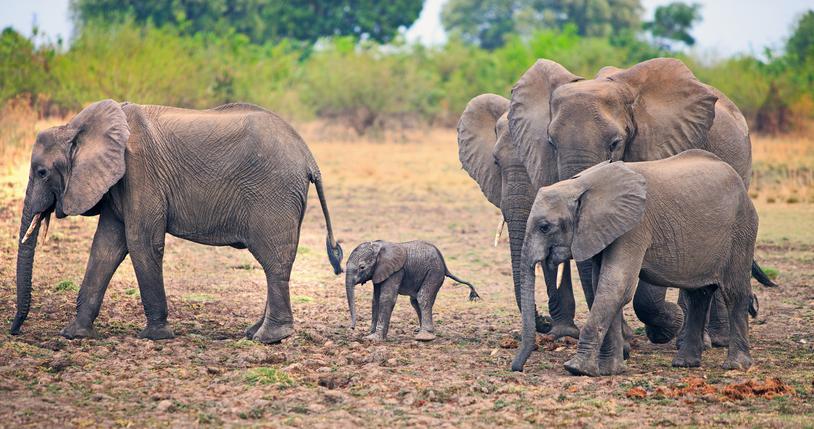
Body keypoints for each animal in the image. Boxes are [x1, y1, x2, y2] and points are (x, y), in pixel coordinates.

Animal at [11, 99, 344, 343]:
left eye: (42, 172)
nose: (14, 331)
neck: (77, 127)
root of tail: (308, 157)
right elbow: (105, 248)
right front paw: (73, 335)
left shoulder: (139, 171)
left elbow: (141, 242)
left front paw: (155, 337)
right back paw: (253, 333)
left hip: (273, 194)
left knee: (273, 261)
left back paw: (269, 338)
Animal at [344, 240, 479, 342]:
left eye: (362, 267)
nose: (352, 328)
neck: (379, 247)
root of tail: (445, 265)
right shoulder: (379, 272)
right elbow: (375, 300)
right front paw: (369, 335)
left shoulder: (396, 271)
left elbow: (386, 298)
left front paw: (375, 338)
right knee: (415, 301)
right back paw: (421, 331)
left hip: (434, 272)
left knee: (423, 297)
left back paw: (424, 336)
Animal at [508, 57, 775, 345]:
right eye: (551, 142)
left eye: (615, 143)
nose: (544, 323)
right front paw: (630, 338)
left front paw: (667, 325)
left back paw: (709, 338)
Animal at [511, 150, 757, 376]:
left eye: (544, 227)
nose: (517, 368)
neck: (581, 184)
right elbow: (603, 287)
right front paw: (610, 370)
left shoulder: (634, 228)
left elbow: (615, 287)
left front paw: (576, 369)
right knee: (698, 295)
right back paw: (684, 363)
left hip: (741, 231)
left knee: (734, 293)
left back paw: (735, 365)